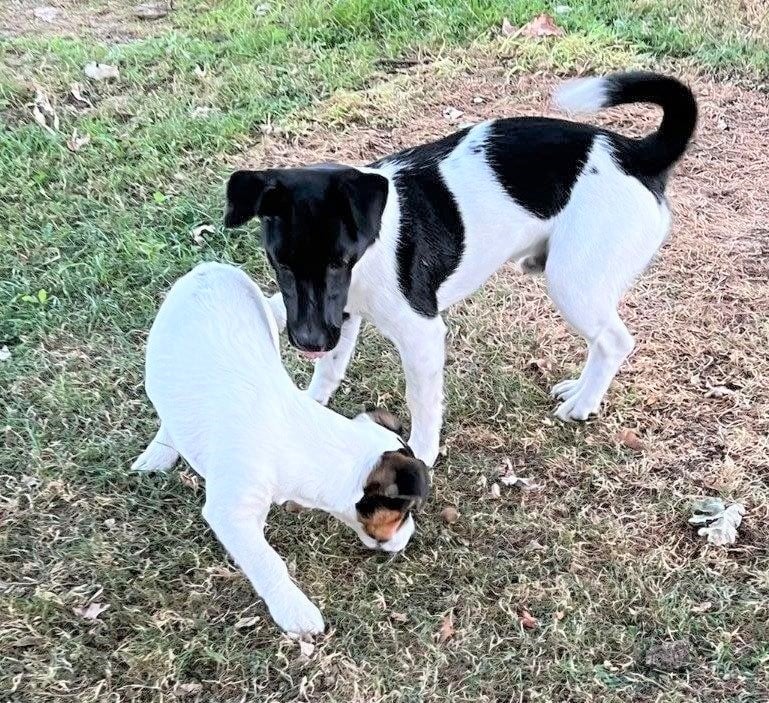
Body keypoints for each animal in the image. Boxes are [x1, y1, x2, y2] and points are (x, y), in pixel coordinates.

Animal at [131, 262, 429, 635]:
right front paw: (295, 611)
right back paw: (160, 451)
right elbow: (267, 562)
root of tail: (209, 268)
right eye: (406, 512)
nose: (409, 538)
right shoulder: (231, 514)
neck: (305, 439)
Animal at [224, 71, 698, 466]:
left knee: (614, 342)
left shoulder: (420, 334)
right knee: (602, 343)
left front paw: (422, 453)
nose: (308, 340)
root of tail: (634, 154)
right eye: (279, 261)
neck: (371, 245)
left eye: (340, 260)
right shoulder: (340, 315)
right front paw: (309, 405)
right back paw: (579, 391)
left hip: (573, 285)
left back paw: (582, 405)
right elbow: (326, 367)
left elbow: (421, 402)